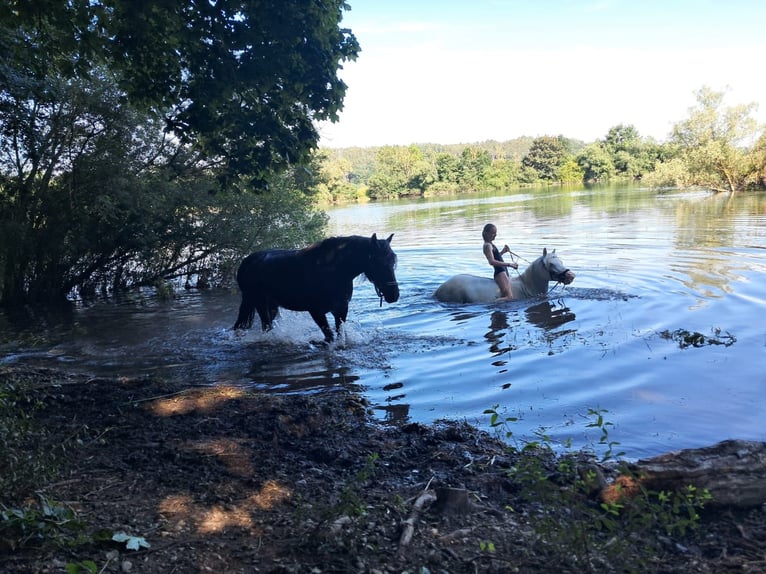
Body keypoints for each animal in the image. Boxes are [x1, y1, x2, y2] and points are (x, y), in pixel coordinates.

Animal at [233, 233, 399, 342]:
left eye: (392, 261)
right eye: (378, 262)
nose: (394, 295)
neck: (332, 270)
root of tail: (246, 262)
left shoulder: (341, 309)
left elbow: (340, 336)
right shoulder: (316, 311)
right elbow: (329, 338)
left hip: (272, 306)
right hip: (260, 304)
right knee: (266, 327)